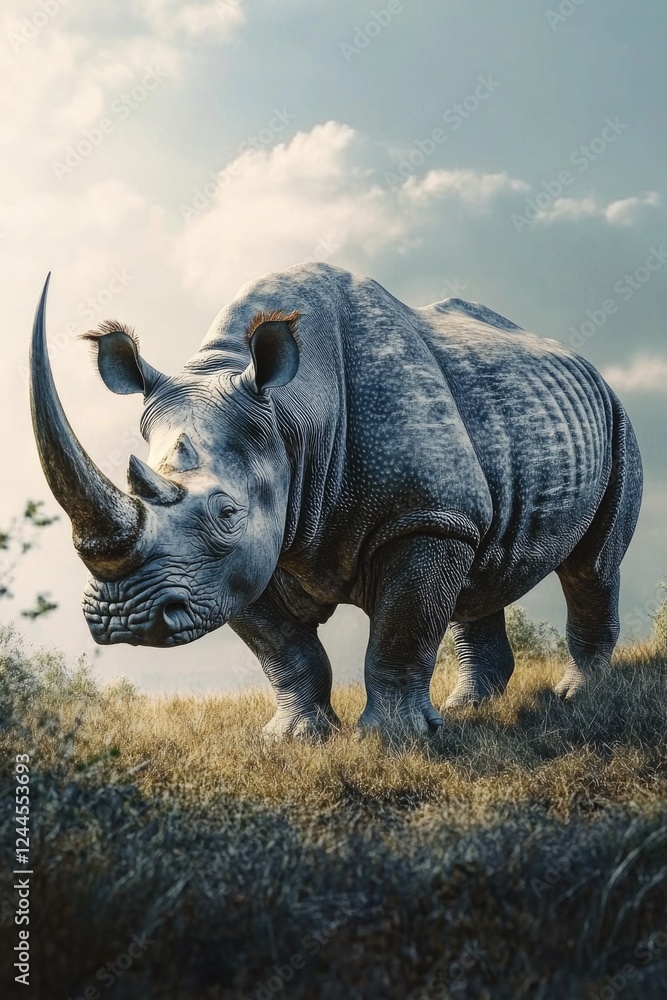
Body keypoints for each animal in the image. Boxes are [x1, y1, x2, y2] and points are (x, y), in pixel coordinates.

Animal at [30, 263, 642, 739]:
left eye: (226, 513)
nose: (123, 619)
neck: (290, 419)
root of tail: (582, 363)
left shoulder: (422, 516)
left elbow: (401, 629)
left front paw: (395, 739)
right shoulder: (239, 563)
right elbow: (283, 650)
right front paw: (295, 738)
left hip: (616, 421)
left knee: (591, 567)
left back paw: (574, 697)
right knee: (480, 565)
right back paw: (470, 709)